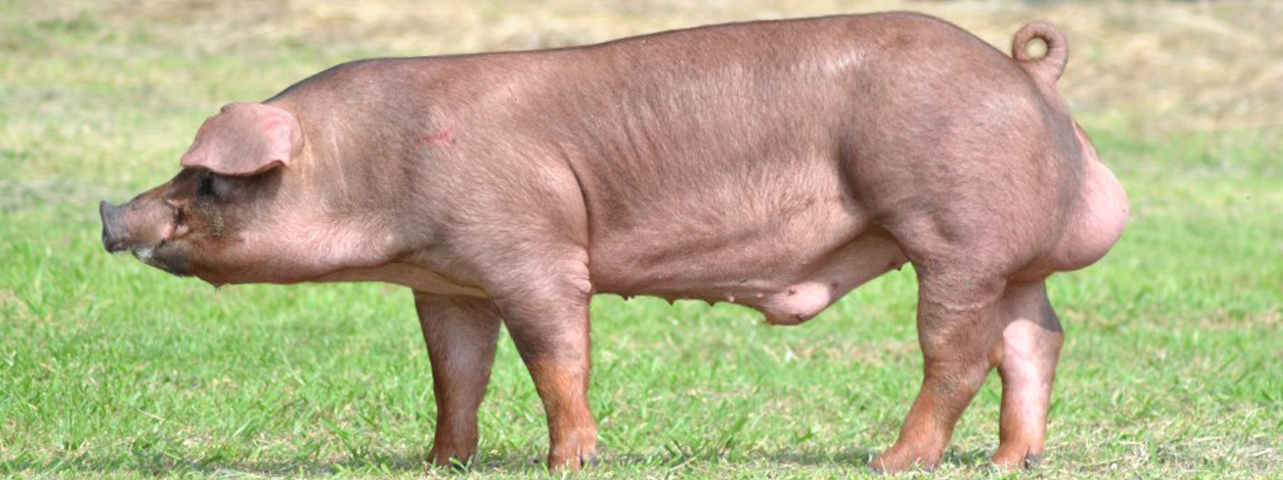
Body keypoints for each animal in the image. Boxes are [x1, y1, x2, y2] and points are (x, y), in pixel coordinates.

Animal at [99, 12, 1128, 473]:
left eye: (205, 180)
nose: (112, 213)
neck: (375, 164)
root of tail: (1026, 76)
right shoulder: (447, 280)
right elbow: (456, 372)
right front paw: (442, 464)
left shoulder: (531, 249)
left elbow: (556, 356)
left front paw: (570, 462)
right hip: (1014, 258)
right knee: (1035, 339)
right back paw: (1008, 462)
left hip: (956, 234)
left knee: (958, 353)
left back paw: (893, 461)